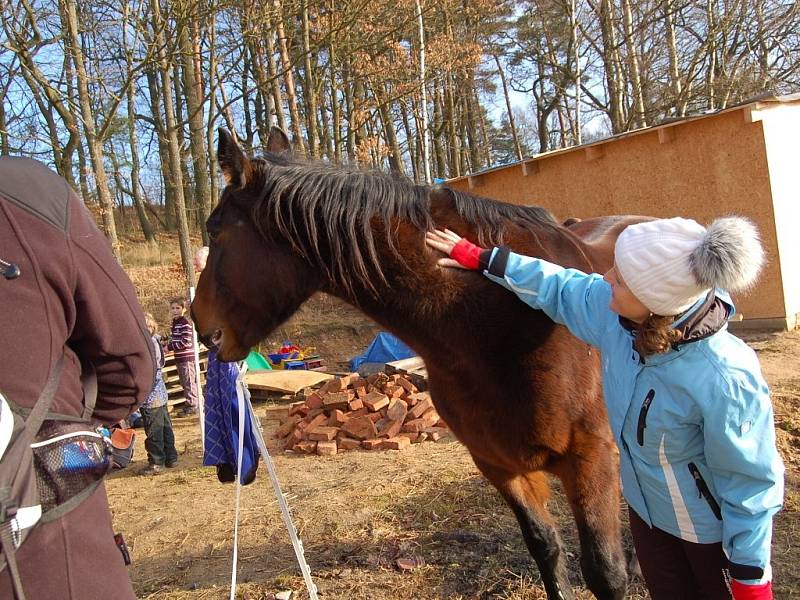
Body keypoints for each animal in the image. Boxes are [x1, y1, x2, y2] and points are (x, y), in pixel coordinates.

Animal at [192, 127, 644, 600]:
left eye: (215, 230)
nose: (200, 326)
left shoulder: (590, 458)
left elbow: (605, 572)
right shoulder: (499, 463)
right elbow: (546, 548)